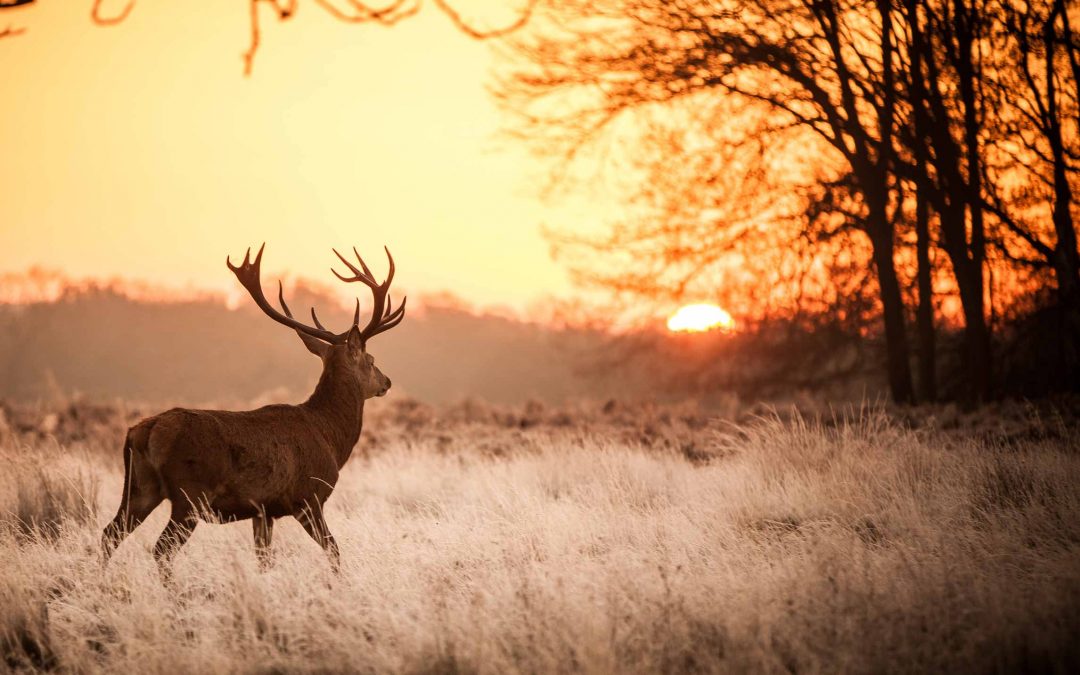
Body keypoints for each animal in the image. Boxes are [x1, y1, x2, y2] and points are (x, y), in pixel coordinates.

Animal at [100, 241, 406, 570]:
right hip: (190, 494)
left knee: (109, 534)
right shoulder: (308, 497)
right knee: (161, 548)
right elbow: (334, 550)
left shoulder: (263, 509)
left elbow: (263, 559)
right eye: (371, 360)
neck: (330, 436)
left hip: (139, 488)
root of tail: (144, 431)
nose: (387, 381)